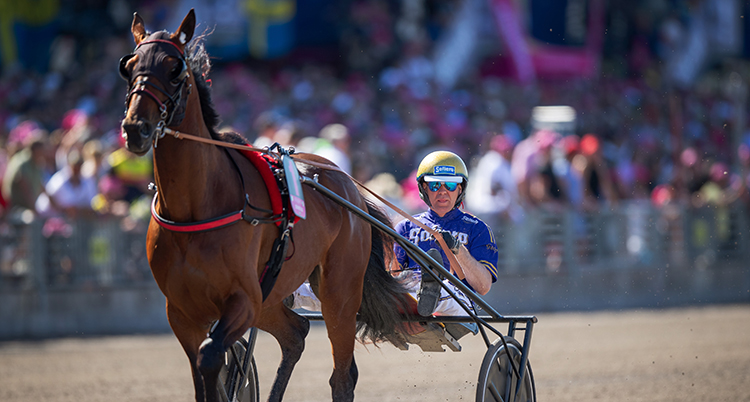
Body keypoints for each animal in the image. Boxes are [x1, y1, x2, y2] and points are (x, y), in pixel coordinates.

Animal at [119, 9, 412, 402]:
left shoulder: (242, 300)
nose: (136, 127)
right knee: (296, 334)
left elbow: (210, 356)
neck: (195, 208)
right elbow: (203, 371)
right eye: (129, 66)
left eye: (174, 69)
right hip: (273, 295)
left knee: (342, 374)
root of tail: (344, 181)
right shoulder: (182, 312)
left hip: (339, 292)